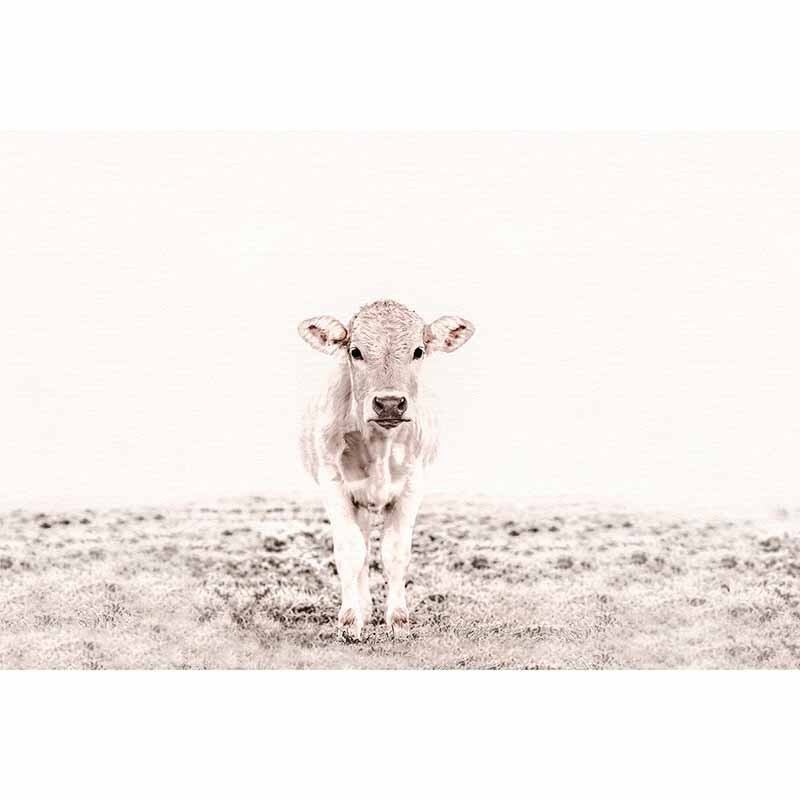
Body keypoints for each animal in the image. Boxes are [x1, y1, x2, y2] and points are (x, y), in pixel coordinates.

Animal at [298, 299, 475, 640]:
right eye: (355, 351)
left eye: (418, 351)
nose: (390, 403)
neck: (379, 445)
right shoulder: (333, 484)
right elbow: (350, 551)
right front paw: (350, 620)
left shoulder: (412, 486)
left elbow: (395, 553)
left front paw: (398, 621)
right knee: (362, 549)